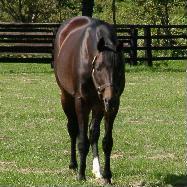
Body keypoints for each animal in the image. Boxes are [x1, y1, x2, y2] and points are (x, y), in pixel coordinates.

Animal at [53, 16, 125, 184]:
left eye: (119, 68)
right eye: (98, 67)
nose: (110, 100)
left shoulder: (111, 106)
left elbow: (106, 141)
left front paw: (107, 176)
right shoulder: (82, 103)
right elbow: (82, 141)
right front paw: (81, 175)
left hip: (98, 105)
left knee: (93, 133)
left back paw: (97, 170)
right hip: (66, 97)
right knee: (73, 129)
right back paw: (73, 165)